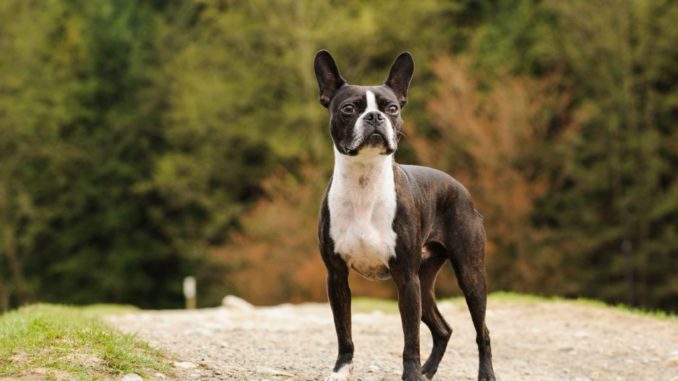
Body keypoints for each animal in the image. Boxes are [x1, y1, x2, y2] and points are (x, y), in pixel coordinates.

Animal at [316, 51, 496, 380]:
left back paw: (484, 374)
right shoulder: (336, 276)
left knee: (482, 331)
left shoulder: (405, 278)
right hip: (424, 282)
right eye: (348, 109)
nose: (375, 117)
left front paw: (410, 374)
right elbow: (343, 331)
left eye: (392, 108)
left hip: (469, 274)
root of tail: (461, 189)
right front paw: (341, 370)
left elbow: (410, 338)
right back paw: (428, 371)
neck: (365, 181)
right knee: (443, 329)